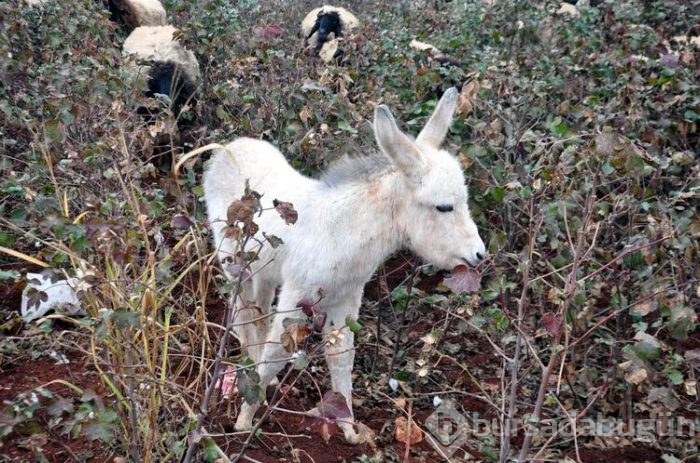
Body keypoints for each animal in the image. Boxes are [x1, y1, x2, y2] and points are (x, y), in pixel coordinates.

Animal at [202, 88, 486, 446]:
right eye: (444, 207)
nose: (479, 255)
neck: (347, 232)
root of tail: (230, 147)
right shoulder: (297, 298)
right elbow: (276, 355)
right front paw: (244, 419)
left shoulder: (344, 302)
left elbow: (341, 359)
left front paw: (349, 427)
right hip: (233, 263)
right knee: (241, 313)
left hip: (265, 271)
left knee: (258, 309)